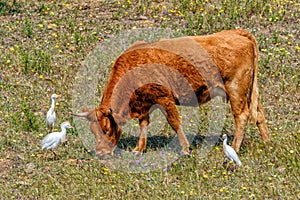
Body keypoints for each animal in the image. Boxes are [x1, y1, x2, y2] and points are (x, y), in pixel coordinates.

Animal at [72, 28, 270, 159]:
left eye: (105, 129)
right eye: (93, 131)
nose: (101, 153)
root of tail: (237, 33)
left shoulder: (165, 98)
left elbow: (174, 122)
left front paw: (185, 149)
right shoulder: (145, 103)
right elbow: (144, 124)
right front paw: (138, 149)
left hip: (236, 88)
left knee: (242, 116)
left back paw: (234, 148)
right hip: (249, 90)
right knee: (259, 114)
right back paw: (266, 142)